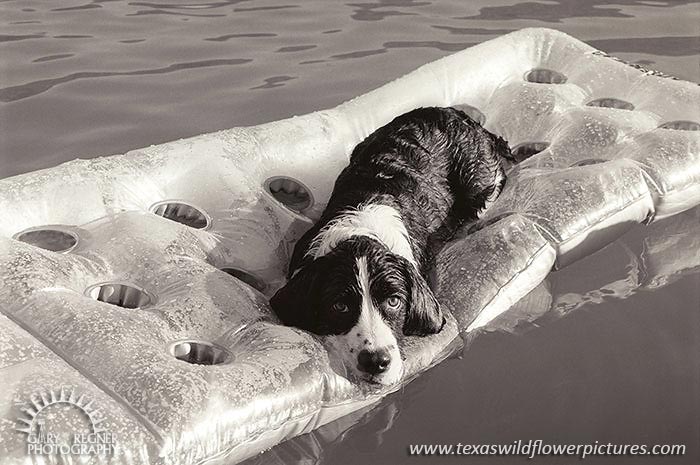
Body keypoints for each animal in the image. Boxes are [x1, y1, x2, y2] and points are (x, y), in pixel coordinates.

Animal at [270, 107, 512, 386]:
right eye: (339, 305)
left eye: (394, 301)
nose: (376, 361)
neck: (363, 228)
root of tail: (455, 113)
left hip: (479, 181)